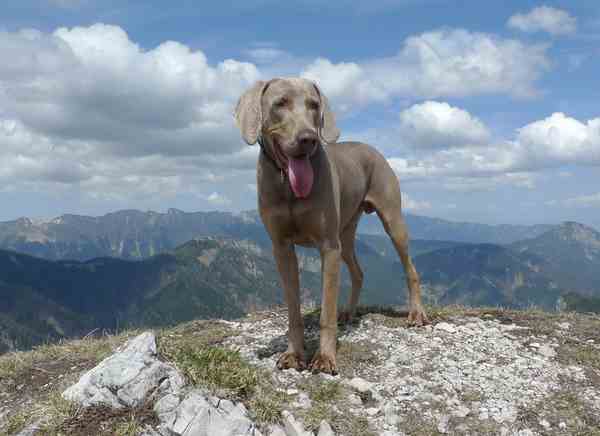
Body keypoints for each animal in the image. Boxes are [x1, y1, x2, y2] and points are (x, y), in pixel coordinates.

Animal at [234, 76, 426, 372]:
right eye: (280, 103)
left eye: (314, 105)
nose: (308, 139)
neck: (288, 187)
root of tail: (371, 147)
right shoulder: (281, 248)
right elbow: (293, 309)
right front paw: (294, 354)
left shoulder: (327, 246)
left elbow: (326, 310)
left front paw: (325, 358)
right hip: (345, 234)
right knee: (358, 272)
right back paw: (349, 312)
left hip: (391, 220)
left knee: (410, 268)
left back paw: (416, 313)